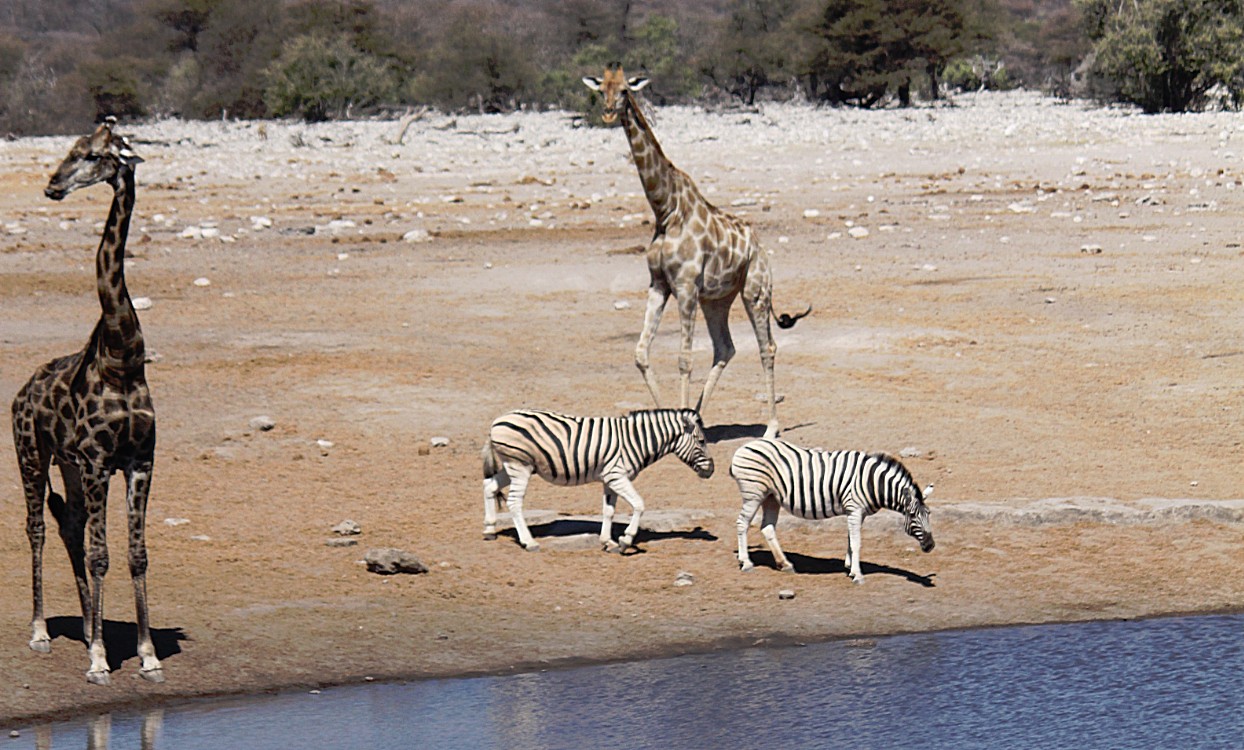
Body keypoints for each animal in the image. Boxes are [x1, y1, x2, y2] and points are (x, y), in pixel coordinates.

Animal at [10, 118, 165, 686]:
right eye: (71, 149)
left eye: (94, 155)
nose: (52, 185)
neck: (123, 358)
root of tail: (23, 389)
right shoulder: (100, 460)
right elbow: (102, 554)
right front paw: (100, 660)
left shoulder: (138, 460)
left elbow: (135, 554)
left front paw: (146, 655)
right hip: (31, 453)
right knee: (37, 527)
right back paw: (42, 631)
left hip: (69, 466)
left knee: (70, 525)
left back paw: (84, 622)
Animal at [477, 410, 716, 552]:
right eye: (702, 441)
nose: (712, 470)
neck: (636, 441)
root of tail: (496, 422)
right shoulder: (617, 476)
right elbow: (639, 505)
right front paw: (626, 540)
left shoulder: (609, 479)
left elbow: (608, 511)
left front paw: (607, 542)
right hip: (520, 466)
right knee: (514, 502)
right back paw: (529, 542)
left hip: (513, 467)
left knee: (489, 485)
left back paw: (489, 530)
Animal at [579, 64, 806, 440]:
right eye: (602, 89)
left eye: (625, 90)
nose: (609, 112)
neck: (665, 208)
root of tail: (760, 247)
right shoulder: (659, 283)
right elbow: (641, 353)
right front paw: (670, 422)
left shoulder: (684, 286)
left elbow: (684, 359)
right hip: (716, 299)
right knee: (725, 347)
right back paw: (698, 415)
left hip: (755, 291)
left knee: (766, 347)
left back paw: (771, 427)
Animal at [726, 437, 935, 584]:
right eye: (913, 515)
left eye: (929, 515)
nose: (931, 546)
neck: (873, 483)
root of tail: (743, 447)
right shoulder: (854, 509)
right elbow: (857, 542)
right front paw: (857, 575)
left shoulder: (857, 512)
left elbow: (851, 540)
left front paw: (849, 567)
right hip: (754, 494)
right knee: (742, 523)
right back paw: (746, 563)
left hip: (771, 497)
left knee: (767, 527)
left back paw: (784, 564)